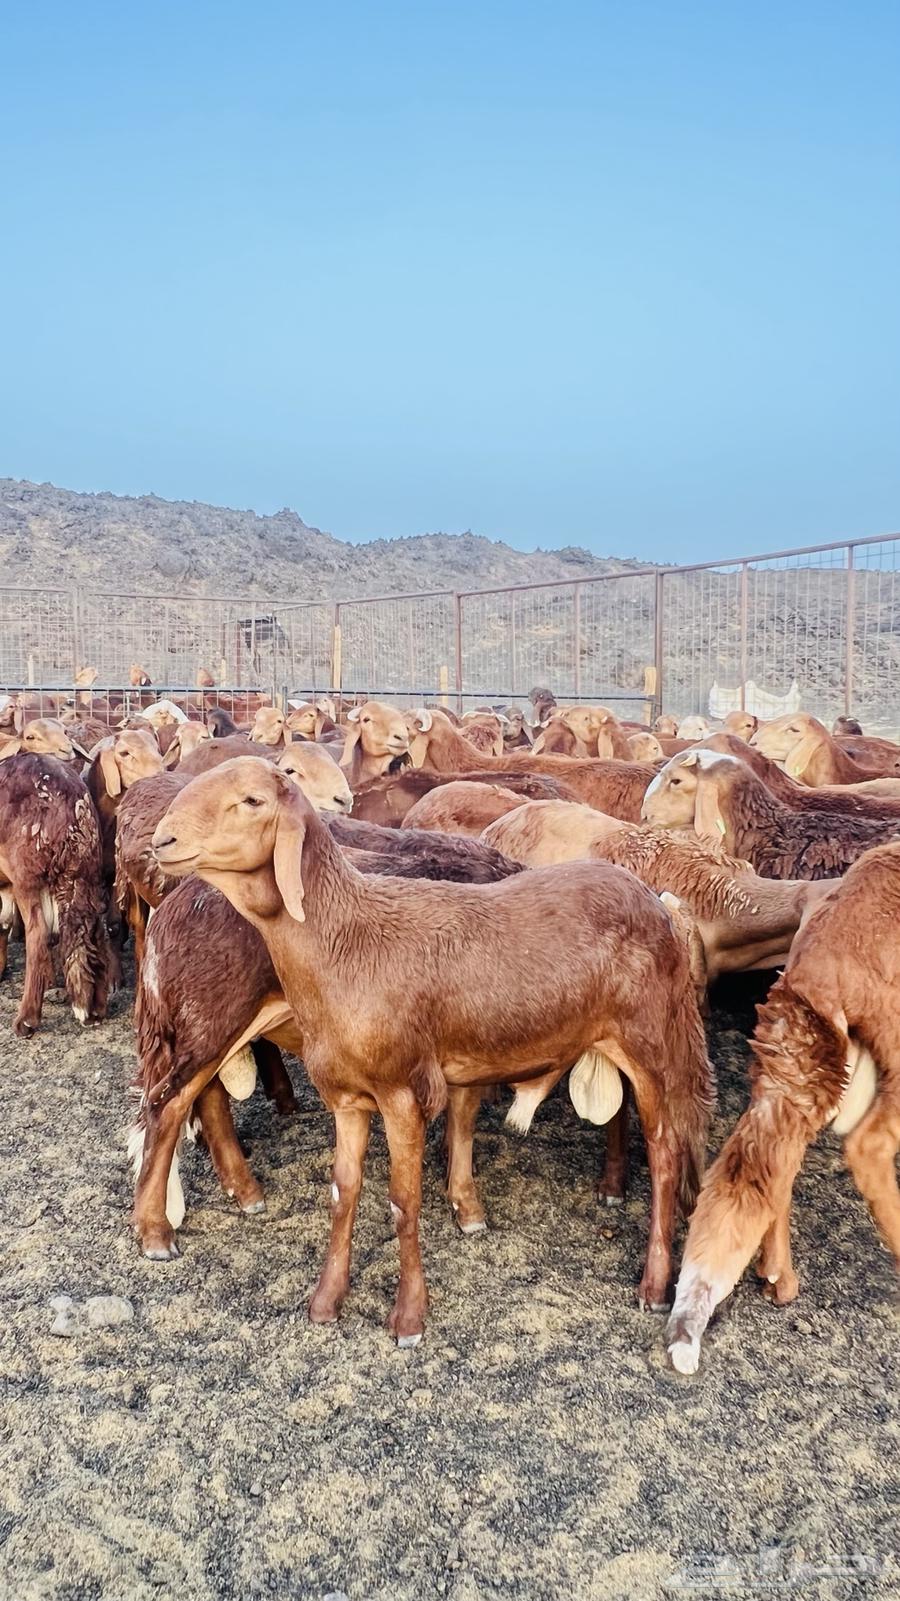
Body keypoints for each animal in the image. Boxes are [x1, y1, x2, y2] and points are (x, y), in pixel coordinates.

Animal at [0, 754, 110, 1034]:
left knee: (37, 935)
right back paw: (94, 1008)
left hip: (28, 880)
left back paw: (27, 1019)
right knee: (93, 932)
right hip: (83, 876)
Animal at [146, 757, 713, 1338]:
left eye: (253, 800)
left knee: (666, 1152)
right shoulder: (347, 1097)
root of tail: (654, 901)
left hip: (649, 1043)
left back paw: (653, 1285)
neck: (343, 940)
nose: (162, 839)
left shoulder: (404, 1092)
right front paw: (326, 1301)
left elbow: (403, 1201)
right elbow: (343, 1191)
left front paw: (409, 1317)